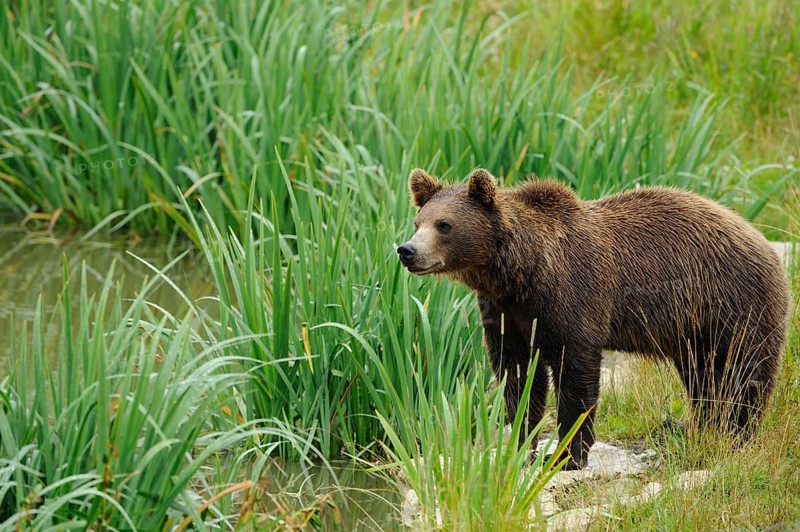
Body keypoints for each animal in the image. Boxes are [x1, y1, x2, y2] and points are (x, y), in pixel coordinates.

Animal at [397, 167, 790, 470]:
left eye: (444, 225)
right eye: (418, 222)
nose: (407, 250)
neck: (521, 273)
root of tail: (762, 240)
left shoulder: (573, 298)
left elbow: (576, 379)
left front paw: (566, 456)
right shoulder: (506, 313)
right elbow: (518, 378)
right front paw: (519, 448)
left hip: (733, 306)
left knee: (745, 375)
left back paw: (737, 436)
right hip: (693, 331)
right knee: (704, 379)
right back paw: (701, 429)